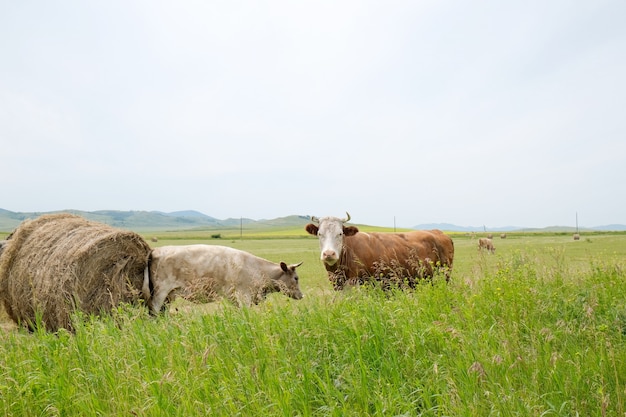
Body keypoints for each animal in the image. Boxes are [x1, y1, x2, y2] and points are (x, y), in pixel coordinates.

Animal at [144, 244, 304, 312]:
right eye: (296, 278)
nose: (302, 295)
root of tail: (156, 250)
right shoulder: (244, 296)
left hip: (169, 295)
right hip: (160, 292)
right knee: (155, 311)